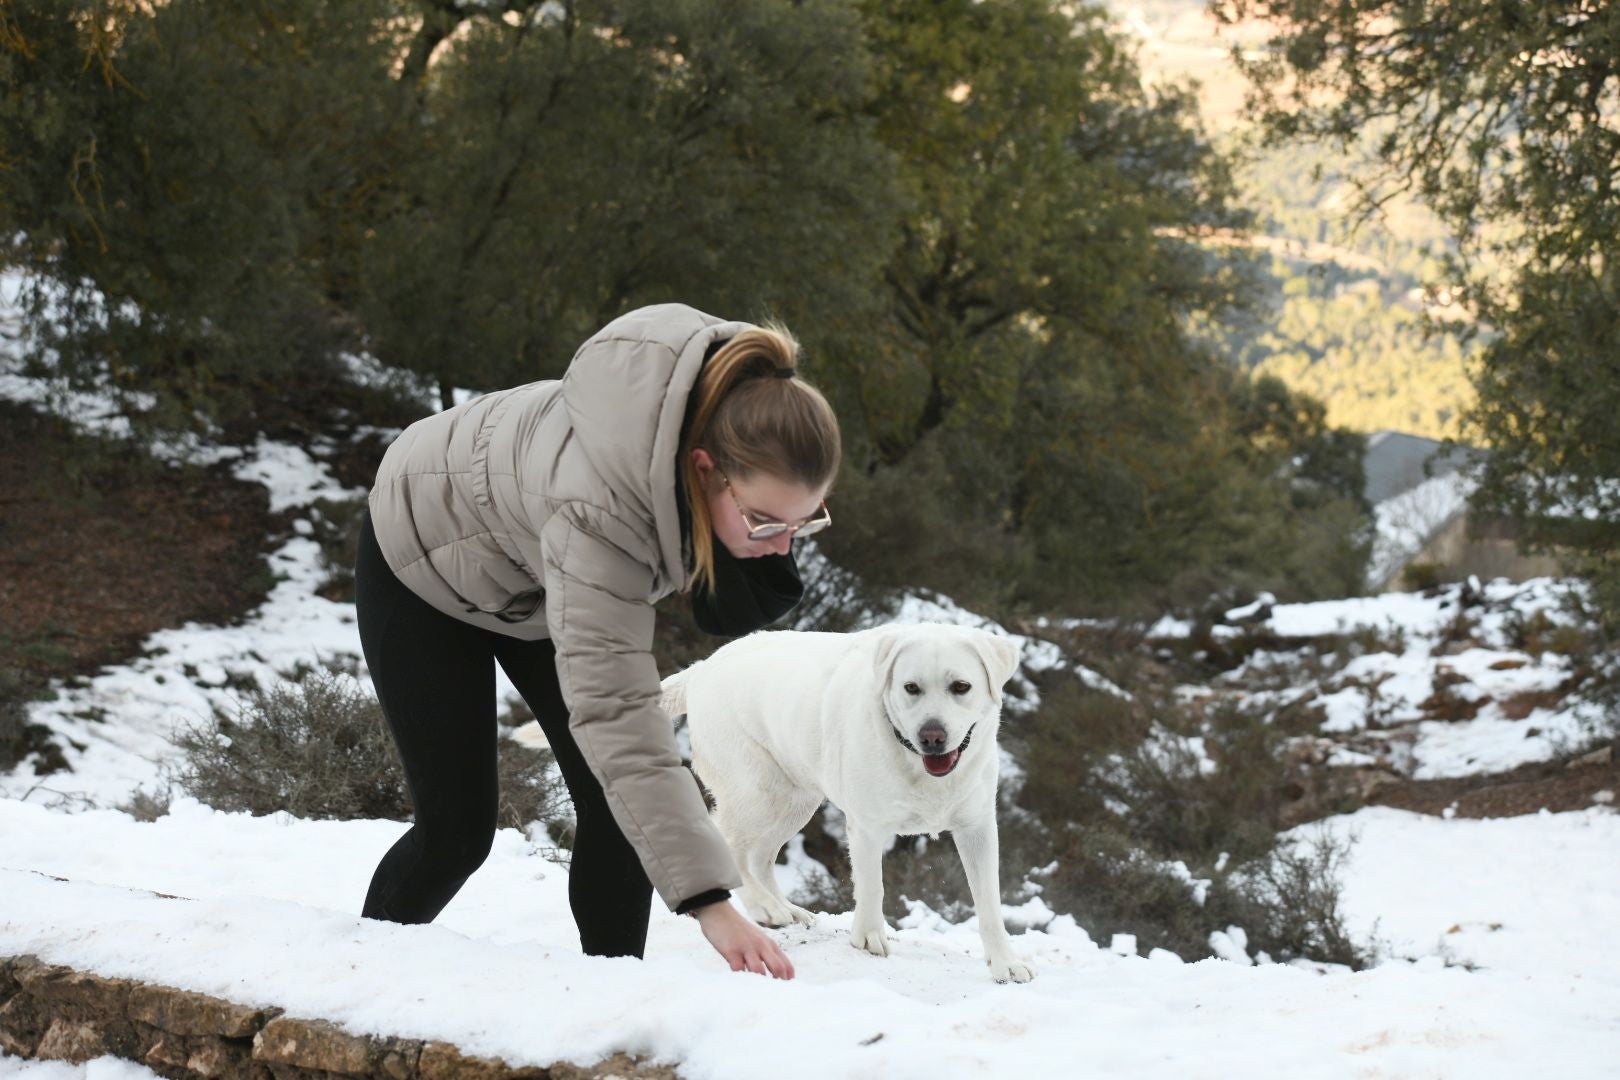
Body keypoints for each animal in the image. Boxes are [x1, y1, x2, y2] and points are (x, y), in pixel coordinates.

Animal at [660, 621, 1036, 984]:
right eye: (911, 688)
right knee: (728, 845)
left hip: (794, 801)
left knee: (760, 858)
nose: (931, 737)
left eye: (961, 686)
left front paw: (1006, 964)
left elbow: (989, 902)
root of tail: (701, 668)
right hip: (757, 792)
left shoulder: (977, 828)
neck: (911, 758)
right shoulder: (867, 827)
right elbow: (872, 886)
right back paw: (764, 908)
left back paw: (786, 910)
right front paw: (868, 939)